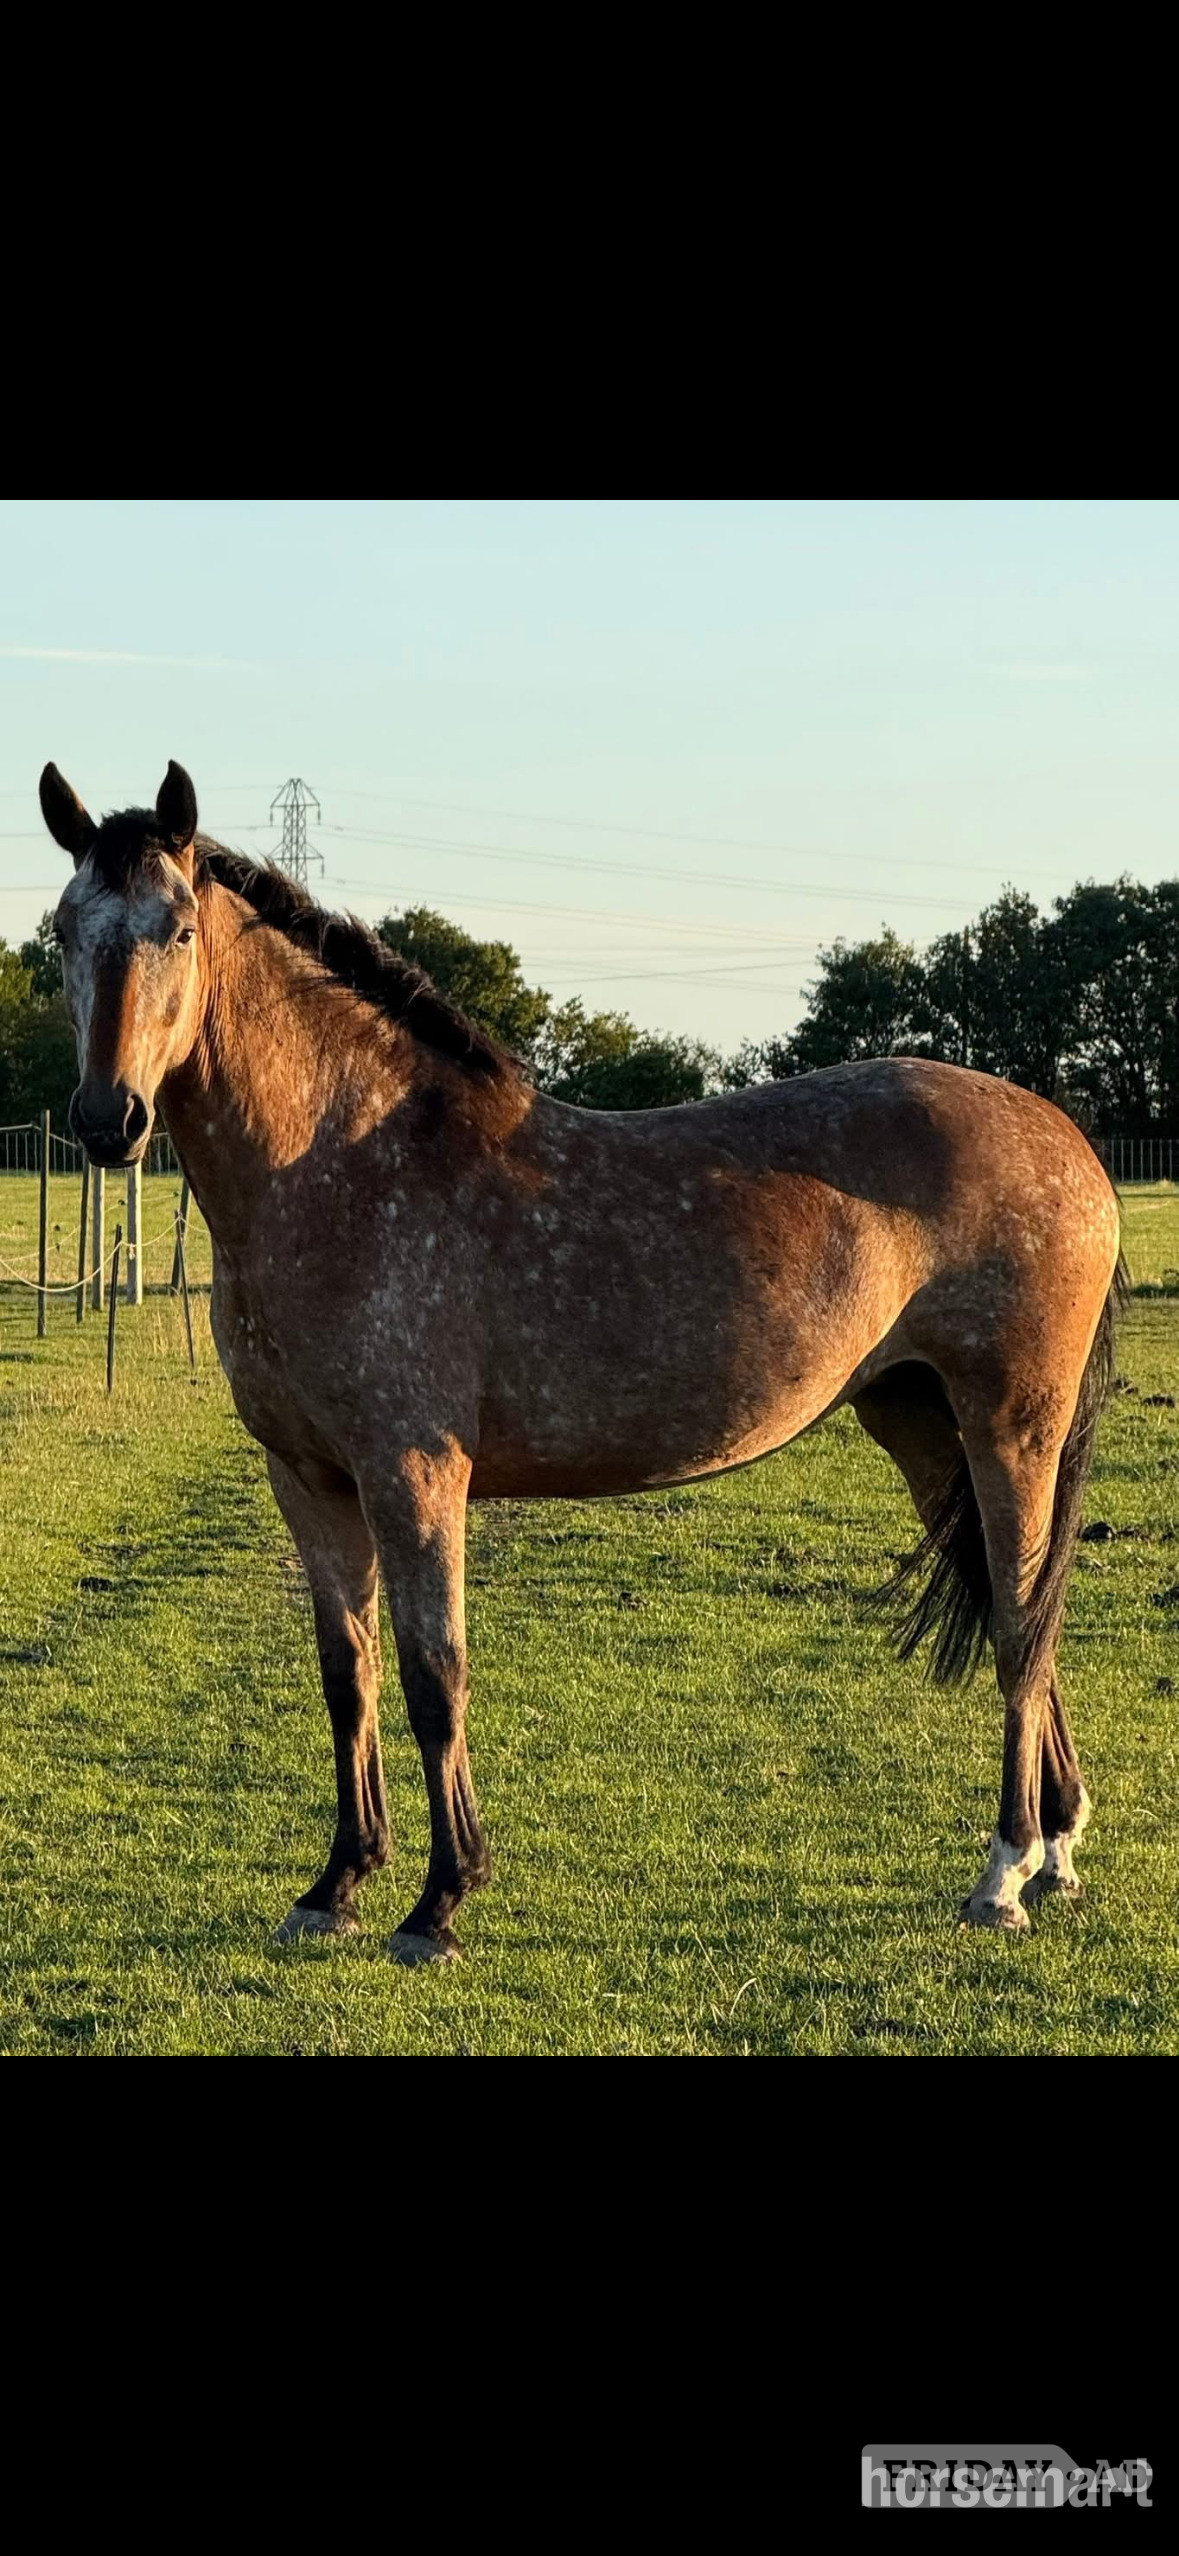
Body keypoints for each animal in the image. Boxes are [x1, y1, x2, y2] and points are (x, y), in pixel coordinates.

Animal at [39, 759, 1123, 1961]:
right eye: (62, 932)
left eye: (179, 929)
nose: (108, 1119)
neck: (341, 1164)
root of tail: (1065, 1142)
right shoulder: (307, 1478)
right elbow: (346, 1675)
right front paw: (335, 1886)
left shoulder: (412, 1471)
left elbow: (433, 1674)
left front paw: (439, 1901)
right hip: (920, 1422)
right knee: (1015, 1610)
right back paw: (1055, 1851)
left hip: (1012, 1423)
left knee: (1024, 1622)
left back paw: (1004, 1871)